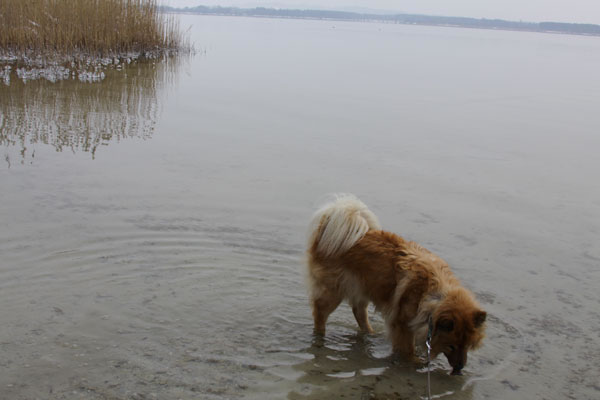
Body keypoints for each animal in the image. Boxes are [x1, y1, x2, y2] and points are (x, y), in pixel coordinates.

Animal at [306, 194, 486, 374]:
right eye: (451, 346)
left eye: (468, 346)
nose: (460, 368)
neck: (432, 294)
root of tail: (326, 230)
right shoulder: (403, 324)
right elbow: (407, 348)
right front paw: (413, 362)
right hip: (334, 291)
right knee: (320, 313)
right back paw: (320, 337)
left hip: (364, 287)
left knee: (359, 312)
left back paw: (370, 334)